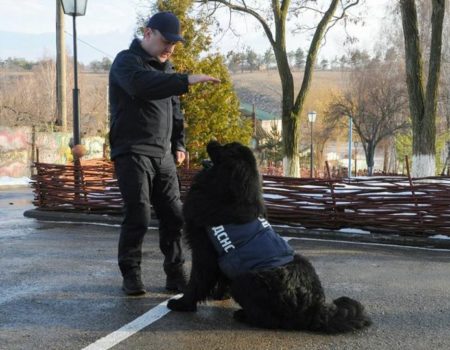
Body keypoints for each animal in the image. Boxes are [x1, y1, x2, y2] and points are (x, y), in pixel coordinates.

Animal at [167, 141, 370, 332]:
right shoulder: (224, 257)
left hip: (245, 279)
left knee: (271, 320)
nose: (212, 141)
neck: (226, 195)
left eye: (226, 148)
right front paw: (219, 295)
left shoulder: (204, 251)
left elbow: (197, 281)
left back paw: (242, 315)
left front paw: (182, 304)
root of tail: (316, 308)